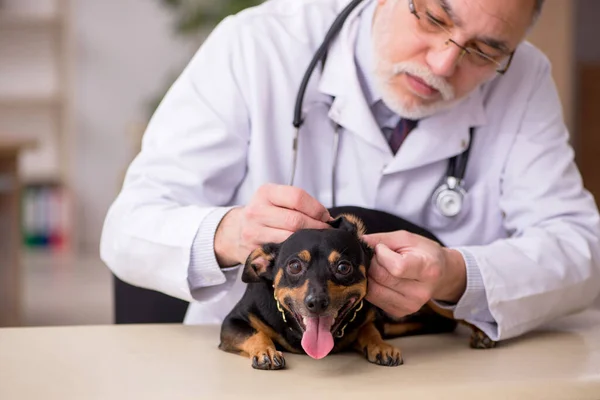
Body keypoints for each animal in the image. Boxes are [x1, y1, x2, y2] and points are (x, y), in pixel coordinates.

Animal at [218, 206, 494, 368]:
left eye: (343, 267)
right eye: (294, 266)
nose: (316, 302)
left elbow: (369, 330)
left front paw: (380, 346)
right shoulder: (232, 323)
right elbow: (255, 333)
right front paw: (266, 351)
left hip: (436, 295)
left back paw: (482, 333)